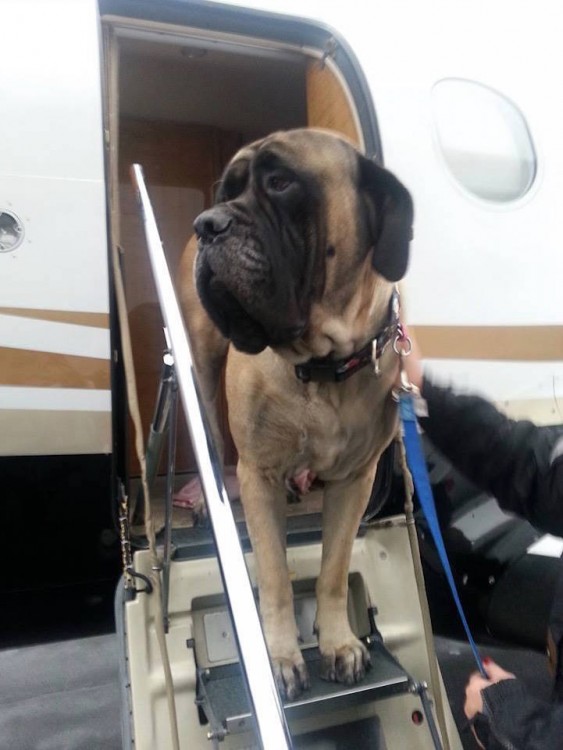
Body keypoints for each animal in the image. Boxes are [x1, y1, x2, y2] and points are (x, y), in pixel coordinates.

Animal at [180, 128, 414, 700]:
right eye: (227, 191)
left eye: (281, 183)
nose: (208, 223)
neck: (323, 365)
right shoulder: (259, 473)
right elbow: (275, 577)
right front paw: (280, 657)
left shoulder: (355, 480)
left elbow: (333, 570)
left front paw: (338, 643)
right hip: (203, 365)